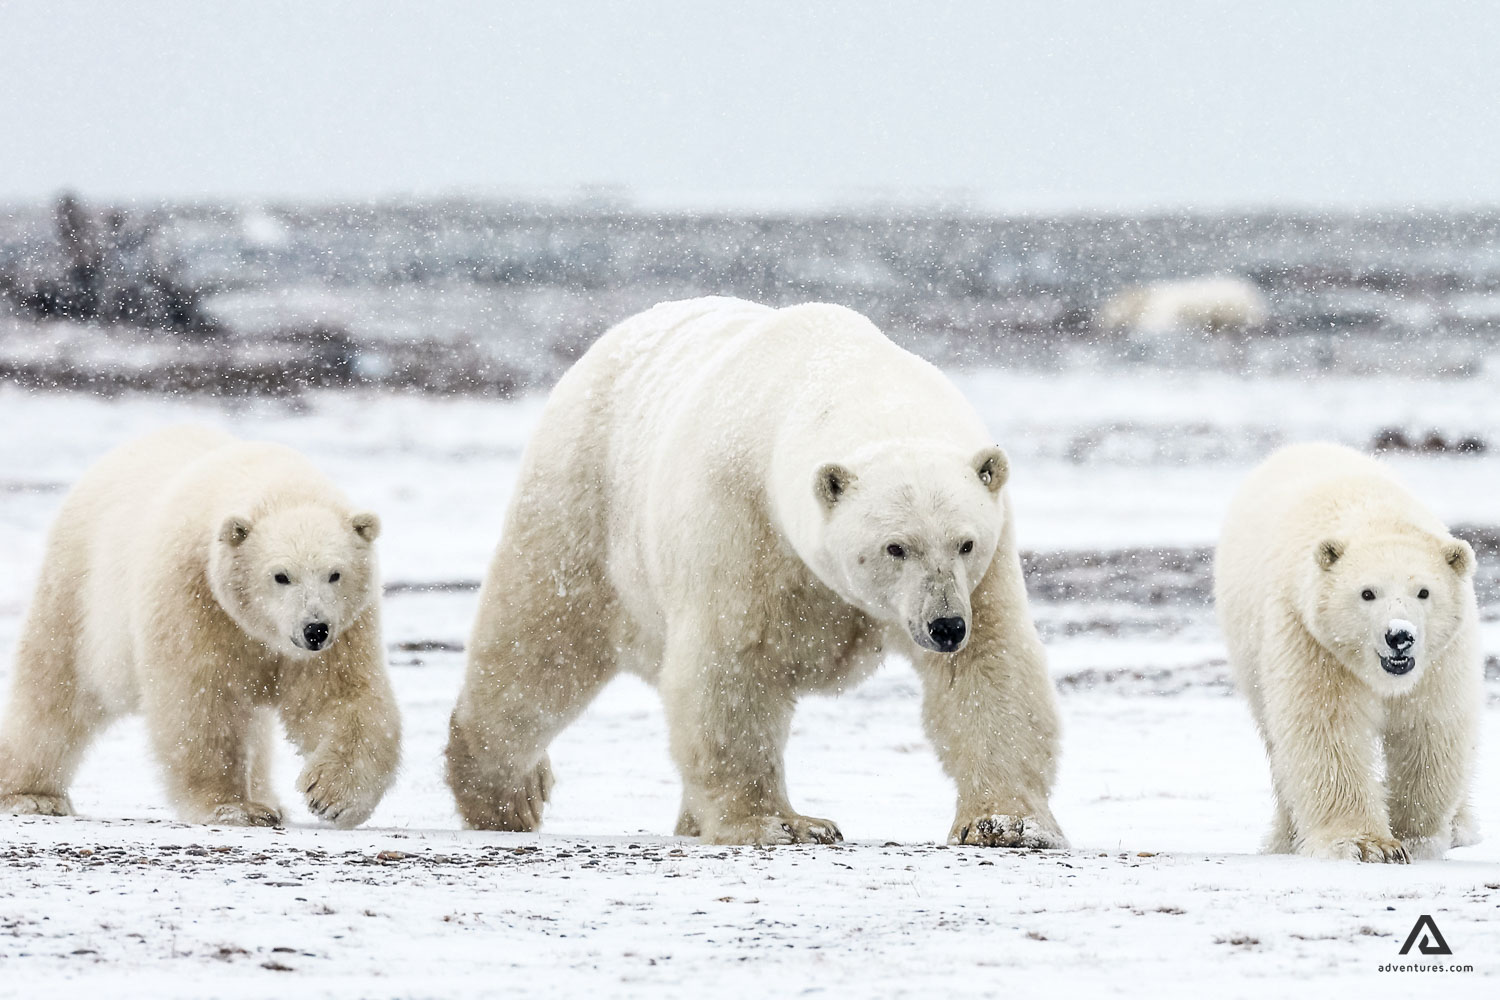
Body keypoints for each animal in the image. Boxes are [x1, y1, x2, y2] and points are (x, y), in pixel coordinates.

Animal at [0, 425, 401, 828]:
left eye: (335, 573)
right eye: (281, 575)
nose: (314, 629)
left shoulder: (345, 628)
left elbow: (342, 695)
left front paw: (332, 796)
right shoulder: (193, 596)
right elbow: (201, 700)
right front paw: (231, 806)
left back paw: (268, 798)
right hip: (80, 591)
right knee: (55, 689)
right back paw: (32, 795)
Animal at [445, 296, 1066, 847]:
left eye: (965, 542)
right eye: (895, 547)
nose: (944, 626)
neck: (841, 373)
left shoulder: (985, 568)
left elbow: (988, 668)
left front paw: (1006, 824)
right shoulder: (739, 517)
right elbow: (731, 665)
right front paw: (785, 824)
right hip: (583, 499)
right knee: (539, 645)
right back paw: (506, 795)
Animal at [1215, 442, 1482, 862]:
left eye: (1423, 591)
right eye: (1367, 593)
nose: (1399, 636)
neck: (1373, 515)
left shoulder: (1442, 657)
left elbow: (1430, 725)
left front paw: (1415, 837)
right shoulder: (1311, 637)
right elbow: (1326, 726)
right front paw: (1367, 844)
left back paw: (1460, 827)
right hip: (1250, 649)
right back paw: (1286, 838)